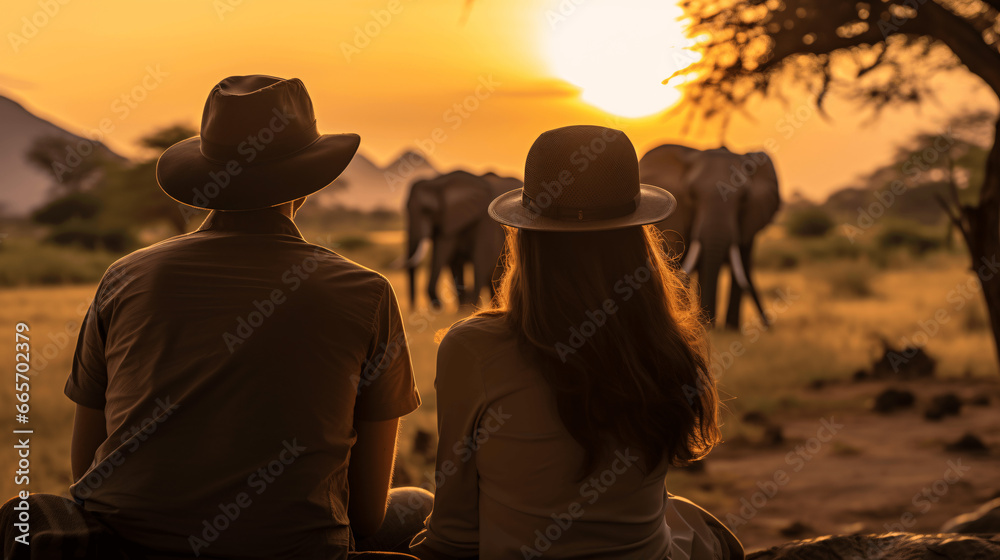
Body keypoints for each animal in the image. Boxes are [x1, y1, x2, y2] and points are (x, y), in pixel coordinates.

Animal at [404, 171, 520, 310]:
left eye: (427, 210)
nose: (412, 309)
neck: (439, 182)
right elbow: (454, 260)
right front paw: (462, 309)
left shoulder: (485, 221)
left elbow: (481, 257)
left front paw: (470, 308)